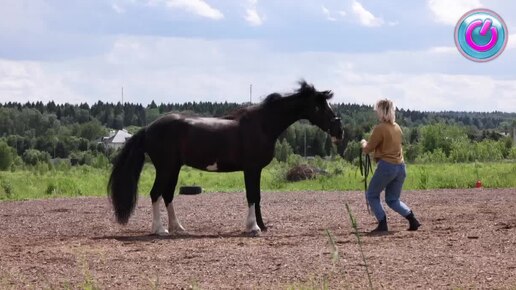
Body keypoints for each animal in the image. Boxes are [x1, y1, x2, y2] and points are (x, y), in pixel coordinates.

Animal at [108, 81, 342, 236]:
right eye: (319, 106)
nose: (339, 131)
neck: (263, 125)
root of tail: (148, 128)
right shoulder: (251, 169)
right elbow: (252, 196)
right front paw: (253, 227)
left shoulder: (255, 170)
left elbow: (257, 196)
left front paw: (261, 225)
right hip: (165, 168)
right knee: (155, 194)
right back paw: (160, 230)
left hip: (173, 168)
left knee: (167, 195)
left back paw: (178, 228)